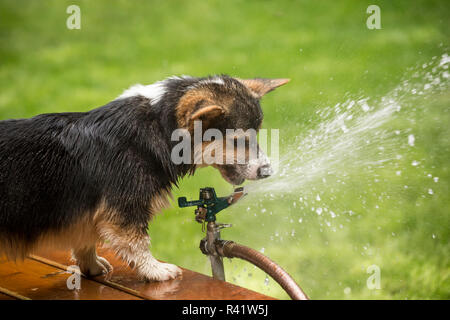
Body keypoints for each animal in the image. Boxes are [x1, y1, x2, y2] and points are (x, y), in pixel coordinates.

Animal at [0, 75, 288, 280]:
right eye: (238, 140)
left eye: (257, 134)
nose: (267, 171)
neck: (160, 128)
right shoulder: (124, 209)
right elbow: (137, 242)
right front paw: (157, 271)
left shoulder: (87, 212)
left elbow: (85, 240)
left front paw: (92, 267)